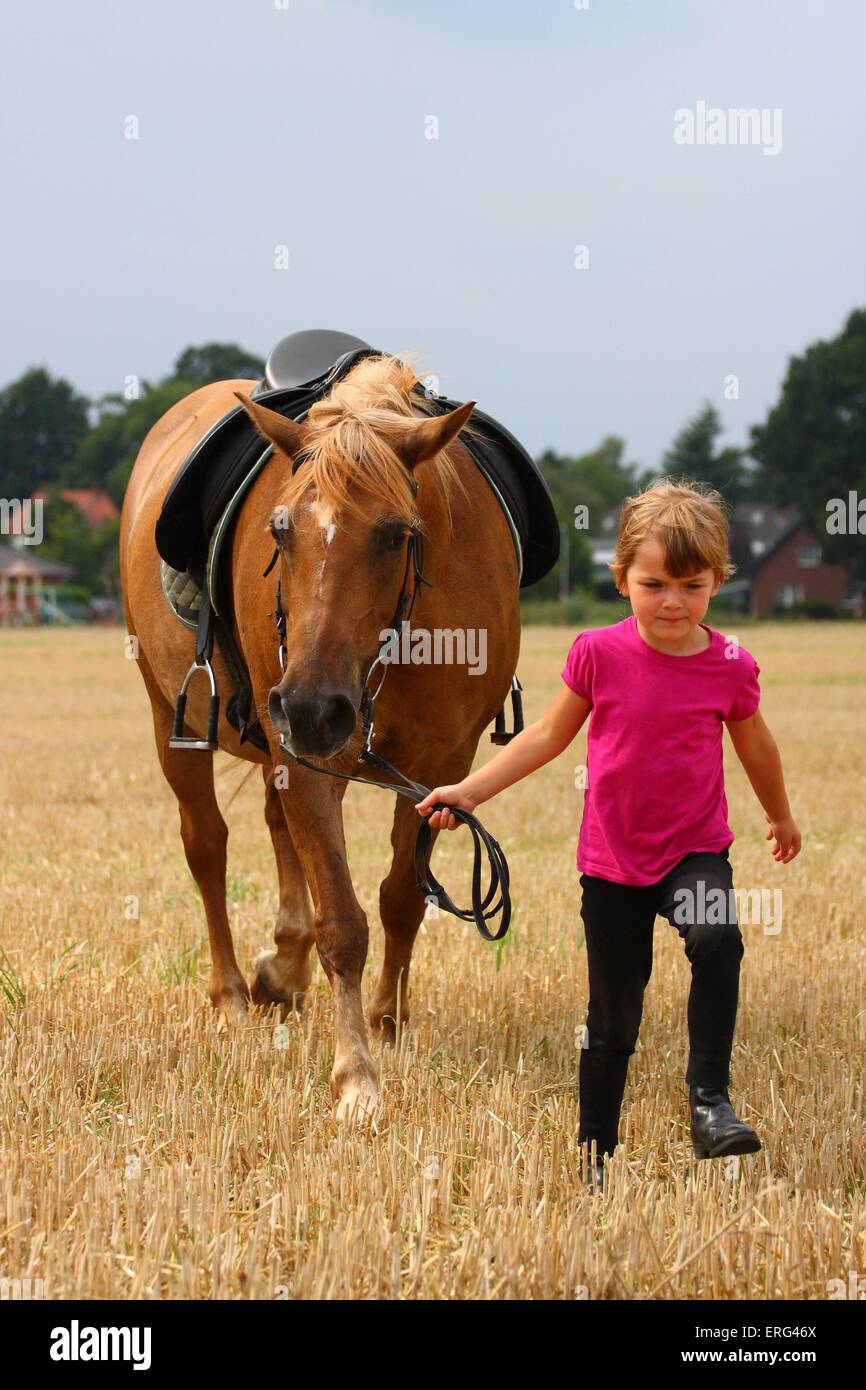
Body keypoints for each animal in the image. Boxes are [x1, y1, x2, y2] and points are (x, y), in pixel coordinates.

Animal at [117, 355, 517, 1117]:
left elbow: (401, 899)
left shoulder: (443, 765)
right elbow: (342, 921)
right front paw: (356, 1075)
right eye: (280, 532)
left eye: (397, 534)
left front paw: (388, 1026)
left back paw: (282, 970)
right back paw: (233, 996)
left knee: (278, 830)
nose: (308, 706)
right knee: (206, 847)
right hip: (166, 715)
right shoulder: (302, 758)